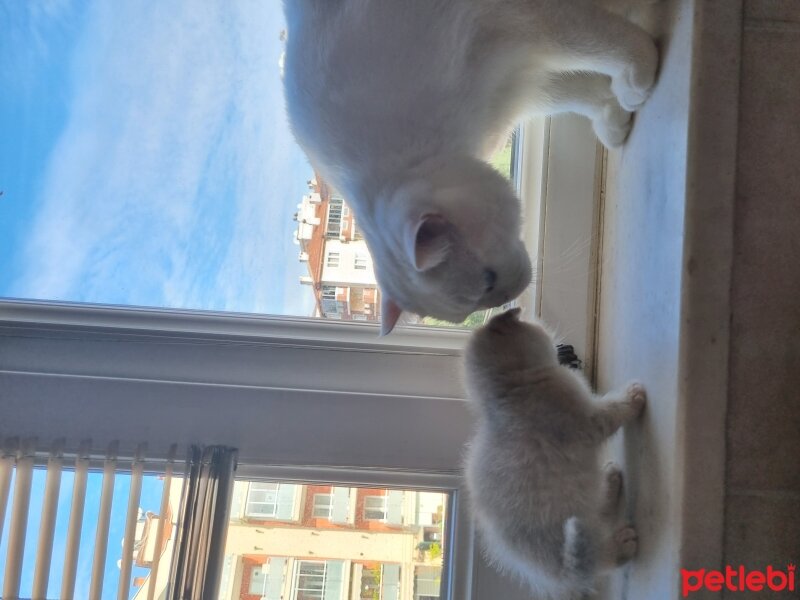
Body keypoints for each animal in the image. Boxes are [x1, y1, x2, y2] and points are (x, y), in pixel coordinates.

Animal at [284, 0, 660, 332]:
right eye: (468, 311)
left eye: (488, 280)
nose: (507, 299)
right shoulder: (520, 80)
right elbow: (580, 91)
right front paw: (615, 118)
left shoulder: (529, 23)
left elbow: (600, 43)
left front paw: (639, 74)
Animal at [462, 310, 644, 600]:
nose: (559, 345)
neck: (510, 392)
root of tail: (556, 576)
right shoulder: (588, 419)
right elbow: (613, 410)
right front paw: (633, 396)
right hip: (573, 526)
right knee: (594, 559)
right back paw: (620, 545)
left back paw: (611, 480)